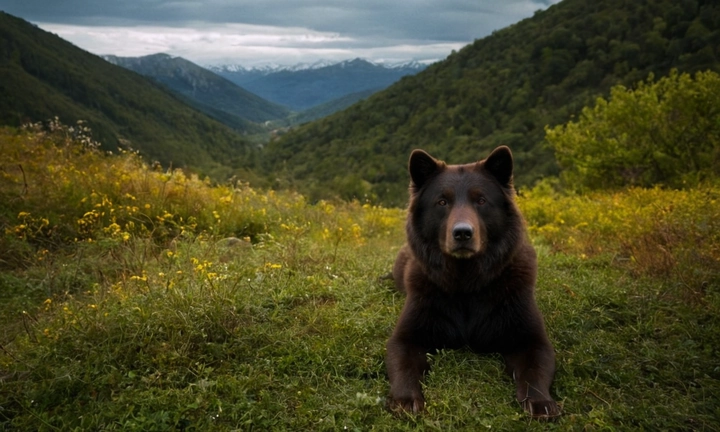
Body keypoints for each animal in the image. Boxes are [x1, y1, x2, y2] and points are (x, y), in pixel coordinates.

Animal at [386, 145, 560, 418]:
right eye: (442, 202)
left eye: (481, 200)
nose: (462, 233)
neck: (465, 283)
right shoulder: (405, 339)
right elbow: (403, 366)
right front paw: (404, 398)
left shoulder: (532, 341)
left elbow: (535, 371)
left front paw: (540, 401)